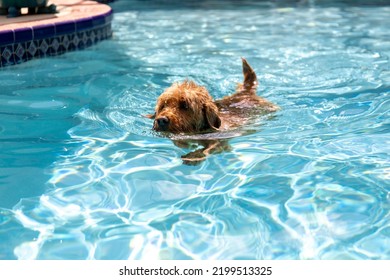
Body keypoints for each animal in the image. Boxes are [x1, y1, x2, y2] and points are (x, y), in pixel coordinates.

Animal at [145, 58, 278, 164]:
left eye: (185, 105)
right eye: (163, 105)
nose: (161, 120)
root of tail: (245, 92)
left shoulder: (220, 140)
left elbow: (210, 148)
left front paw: (194, 156)